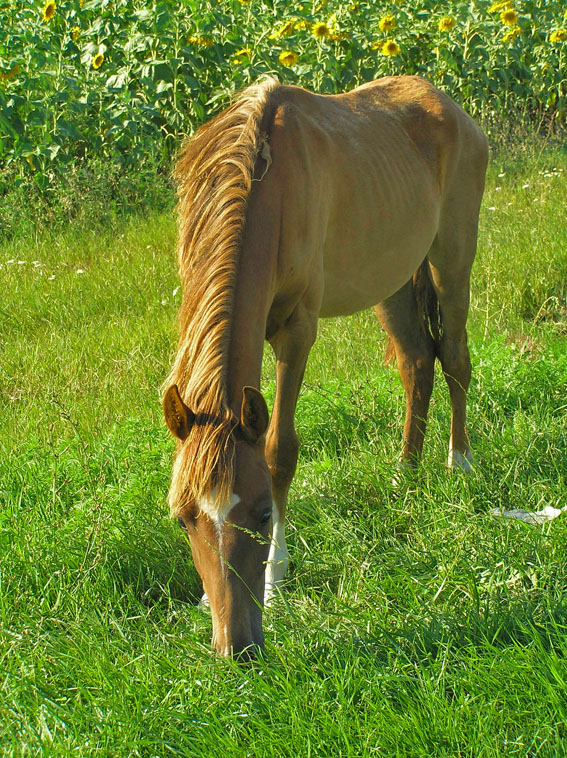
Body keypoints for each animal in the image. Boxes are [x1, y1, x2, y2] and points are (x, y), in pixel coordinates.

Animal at [163, 75, 488, 660]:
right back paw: (406, 473)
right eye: (184, 519)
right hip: (392, 279)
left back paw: (460, 463)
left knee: (454, 359)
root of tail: (450, 106)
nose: (235, 647)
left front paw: (277, 577)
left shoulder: (296, 332)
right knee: (417, 364)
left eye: (262, 514)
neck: (268, 188)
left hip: (451, 260)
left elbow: (278, 451)